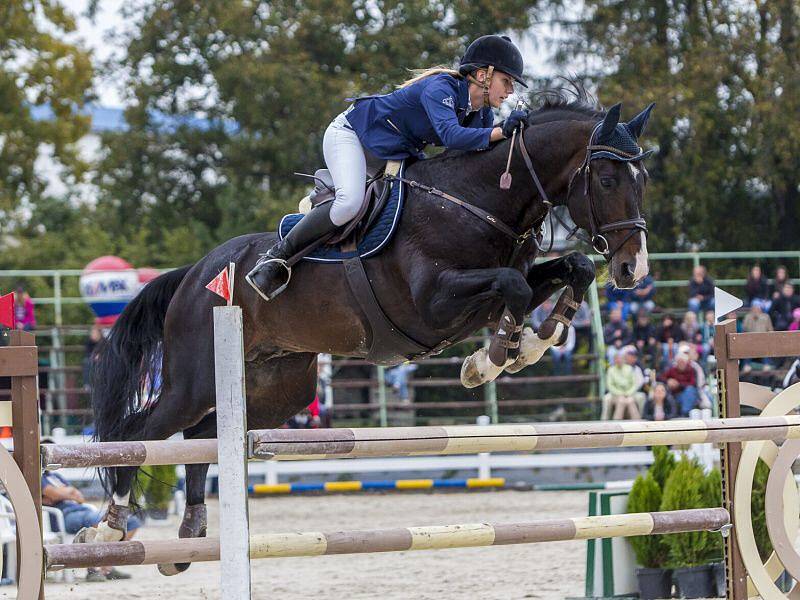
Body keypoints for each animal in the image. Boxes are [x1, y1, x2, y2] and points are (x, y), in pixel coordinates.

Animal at [89, 91, 648, 576]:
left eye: (640, 178)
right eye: (605, 179)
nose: (632, 270)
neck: (479, 199)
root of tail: (194, 273)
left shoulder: (492, 291)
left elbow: (570, 269)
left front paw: (532, 342)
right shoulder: (433, 305)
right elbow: (512, 285)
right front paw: (489, 360)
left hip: (280, 387)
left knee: (201, 438)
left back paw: (187, 539)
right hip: (194, 379)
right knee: (140, 433)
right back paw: (110, 528)